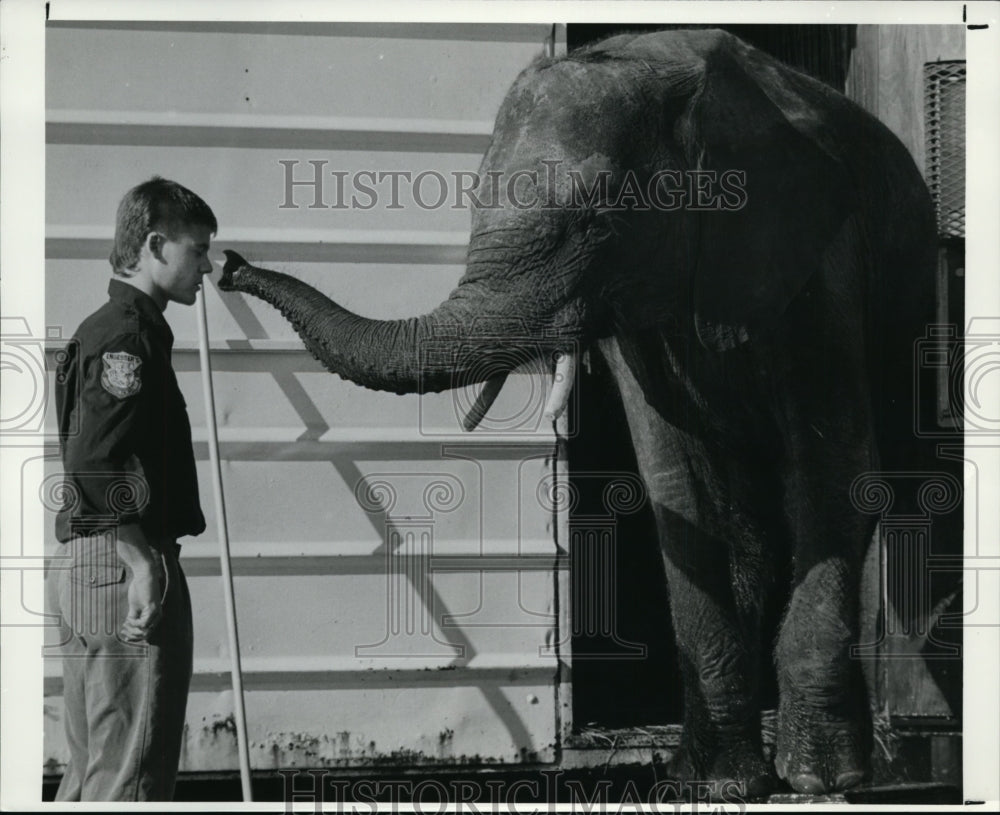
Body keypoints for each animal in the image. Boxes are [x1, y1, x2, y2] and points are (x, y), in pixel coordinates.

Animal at [217, 30, 936, 796]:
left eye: (601, 219)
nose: (228, 263)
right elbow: (680, 483)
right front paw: (711, 784)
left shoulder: (819, 258)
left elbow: (834, 472)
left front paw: (821, 780)